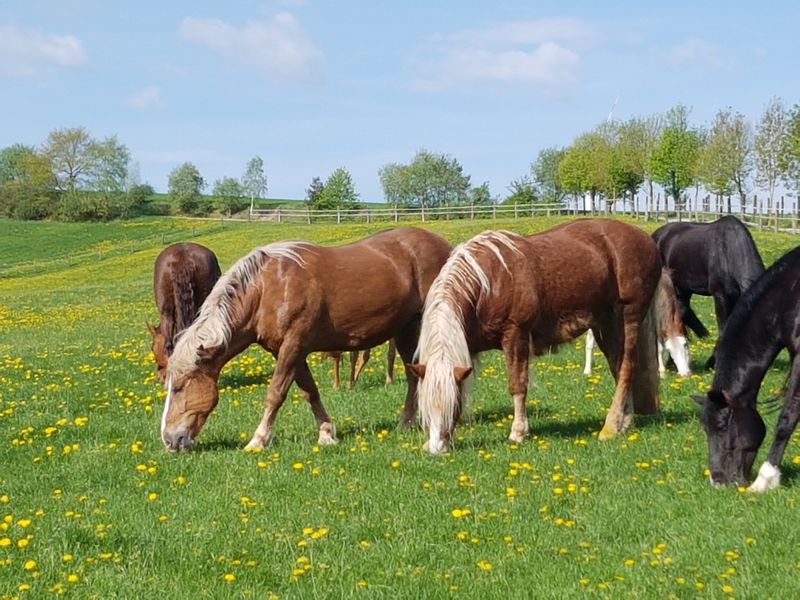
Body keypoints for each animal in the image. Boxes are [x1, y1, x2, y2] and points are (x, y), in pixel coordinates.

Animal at [159, 227, 454, 452]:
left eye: (180, 387)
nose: (170, 440)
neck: (266, 289)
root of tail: (446, 245)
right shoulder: (289, 351)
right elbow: (309, 390)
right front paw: (326, 433)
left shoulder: (293, 346)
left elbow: (276, 393)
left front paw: (258, 440)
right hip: (405, 329)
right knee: (414, 374)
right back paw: (406, 422)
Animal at [412, 220, 664, 454]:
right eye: (425, 406)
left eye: (450, 404)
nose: (436, 448)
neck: (488, 283)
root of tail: (645, 238)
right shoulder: (466, 346)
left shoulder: (515, 335)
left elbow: (517, 385)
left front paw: (517, 433)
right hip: (606, 325)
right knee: (619, 368)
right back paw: (624, 422)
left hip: (628, 317)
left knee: (627, 367)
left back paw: (610, 427)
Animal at [692, 245, 800, 492]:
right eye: (705, 428)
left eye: (722, 425)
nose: (718, 480)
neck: (790, 299)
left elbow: (786, 419)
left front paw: (765, 479)